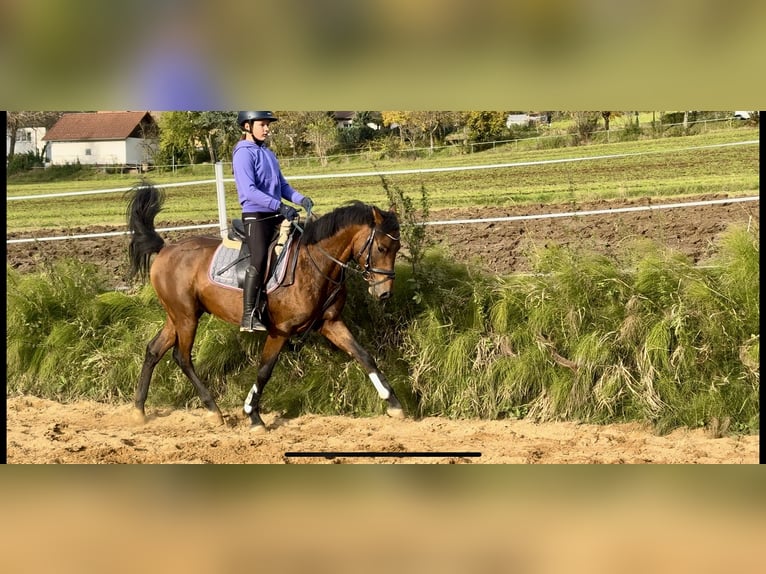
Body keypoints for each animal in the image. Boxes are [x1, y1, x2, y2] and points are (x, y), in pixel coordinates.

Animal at [124, 182, 408, 430]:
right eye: (381, 247)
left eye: (398, 247)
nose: (384, 292)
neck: (312, 263)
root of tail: (165, 249)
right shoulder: (279, 330)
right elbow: (264, 371)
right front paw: (253, 415)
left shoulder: (330, 323)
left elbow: (364, 356)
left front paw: (394, 404)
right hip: (186, 318)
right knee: (182, 357)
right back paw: (214, 410)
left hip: (179, 315)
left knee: (154, 350)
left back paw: (139, 411)